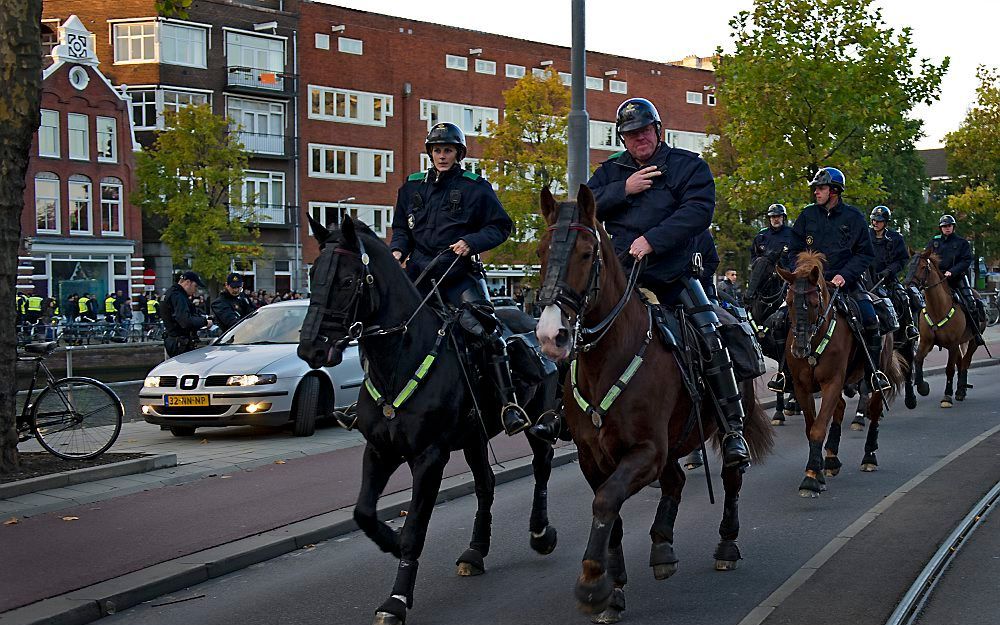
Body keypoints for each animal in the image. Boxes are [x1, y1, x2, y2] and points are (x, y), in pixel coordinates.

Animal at [296, 216, 564, 624]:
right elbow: (364, 512)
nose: (310, 348)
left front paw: (396, 600)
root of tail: (531, 320)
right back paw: (475, 551)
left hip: (537, 423)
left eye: (347, 280)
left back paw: (540, 533)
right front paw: (389, 542)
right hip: (473, 438)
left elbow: (415, 529)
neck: (400, 357)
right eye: (313, 275)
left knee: (541, 468)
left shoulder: (429, 457)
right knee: (485, 485)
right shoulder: (380, 450)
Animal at [532, 185, 772, 620]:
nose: (550, 335)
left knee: (731, 477)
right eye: (541, 251)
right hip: (673, 444)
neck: (607, 359)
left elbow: (606, 502)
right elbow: (610, 513)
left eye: (586, 253)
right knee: (675, 480)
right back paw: (662, 546)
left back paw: (726, 544)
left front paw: (592, 582)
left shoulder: (646, 450)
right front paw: (613, 588)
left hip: (721, 427)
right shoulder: (594, 458)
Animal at [772, 250, 908, 498]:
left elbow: (818, 429)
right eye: (789, 301)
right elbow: (811, 427)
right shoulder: (802, 387)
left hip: (875, 377)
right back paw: (831, 458)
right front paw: (817, 470)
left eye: (814, 303)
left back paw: (869, 457)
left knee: (874, 412)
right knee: (841, 408)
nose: (799, 349)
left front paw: (810, 478)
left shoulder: (832, 383)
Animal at [904, 251, 980, 408]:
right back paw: (960, 389)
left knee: (965, 362)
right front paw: (922, 387)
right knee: (961, 362)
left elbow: (949, 369)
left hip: (973, 342)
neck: (938, 308)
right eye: (908, 266)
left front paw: (947, 396)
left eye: (922, 267)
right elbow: (918, 360)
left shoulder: (952, 345)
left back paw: (960, 390)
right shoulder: (926, 342)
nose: (908, 286)